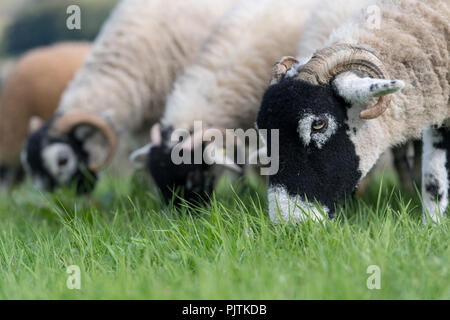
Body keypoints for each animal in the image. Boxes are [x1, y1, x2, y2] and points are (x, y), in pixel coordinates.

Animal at [255, 0, 448, 224]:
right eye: (263, 131)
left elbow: (434, 180)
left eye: (318, 124)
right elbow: (434, 182)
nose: (290, 223)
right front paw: (433, 224)